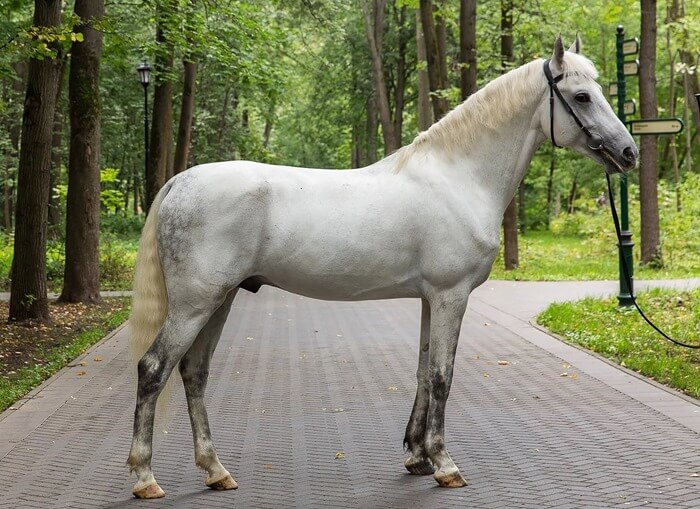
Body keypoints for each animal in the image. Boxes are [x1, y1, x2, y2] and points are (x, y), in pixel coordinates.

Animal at [127, 35, 638, 498]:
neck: (459, 177)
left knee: (193, 372)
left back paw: (216, 471)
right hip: (195, 304)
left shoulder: (432, 299)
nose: (628, 152)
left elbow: (423, 371)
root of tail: (180, 181)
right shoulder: (451, 296)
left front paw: (416, 456)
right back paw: (145, 477)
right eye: (582, 96)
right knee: (153, 368)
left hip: (221, 299)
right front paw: (444, 464)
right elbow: (442, 376)